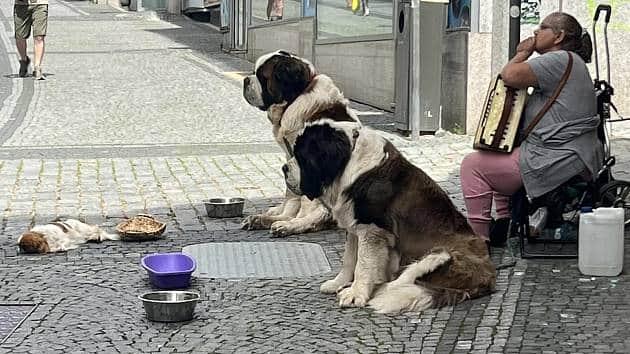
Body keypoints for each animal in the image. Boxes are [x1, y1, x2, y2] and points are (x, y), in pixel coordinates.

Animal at [242, 49, 360, 236]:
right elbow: (290, 196)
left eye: (262, 76)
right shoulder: (289, 159)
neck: (296, 97)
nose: (246, 80)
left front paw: (289, 222)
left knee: (318, 216)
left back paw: (287, 224)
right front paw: (278, 213)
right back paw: (264, 219)